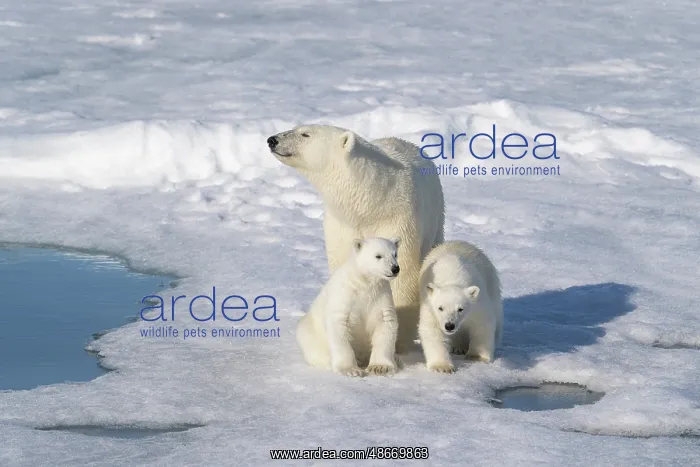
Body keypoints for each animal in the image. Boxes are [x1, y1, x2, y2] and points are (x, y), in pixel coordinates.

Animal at [267, 125, 445, 353]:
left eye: (305, 134)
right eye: (295, 127)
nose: (272, 140)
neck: (370, 202)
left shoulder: (399, 220)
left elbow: (403, 275)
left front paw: (398, 341)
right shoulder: (341, 226)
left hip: (437, 219)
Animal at [295, 236, 401, 377]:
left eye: (395, 254)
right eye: (378, 255)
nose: (395, 268)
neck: (363, 282)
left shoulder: (381, 296)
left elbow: (385, 322)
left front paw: (380, 367)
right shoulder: (345, 297)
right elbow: (340, 326)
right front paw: (351, 370)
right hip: (309, 331)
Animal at [417, 240, 503, 373]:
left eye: (460, 309)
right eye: (440, 308)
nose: (449, 326)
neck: (451, 277)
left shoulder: (478, 304)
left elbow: (482, 324)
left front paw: (477, 357)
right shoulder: (429, 307)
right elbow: (432, 330)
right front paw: (442, 367)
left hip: (492, 285)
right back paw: (458, 347)